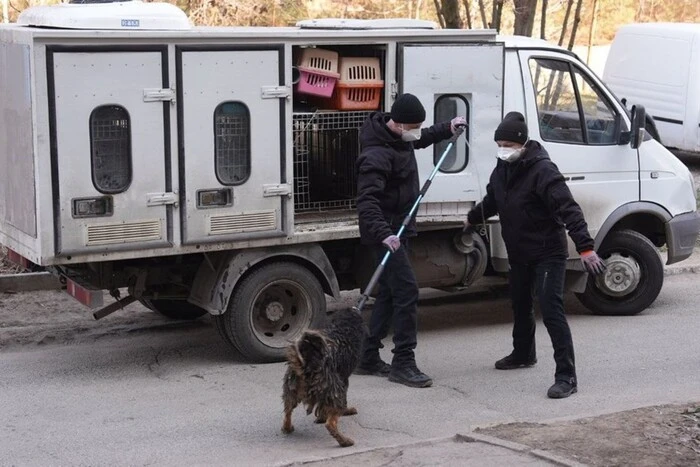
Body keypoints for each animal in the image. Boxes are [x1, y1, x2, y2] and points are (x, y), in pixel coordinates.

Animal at [280, 308, 364, 448]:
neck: (341, 329)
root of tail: (307, 364)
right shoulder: (343, 379)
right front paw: (346, 410)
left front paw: (320, 417)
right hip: (335, 391)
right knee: (331, 424)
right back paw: (344, 441)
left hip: (291, 391)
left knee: (287, 412)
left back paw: (287, 428)